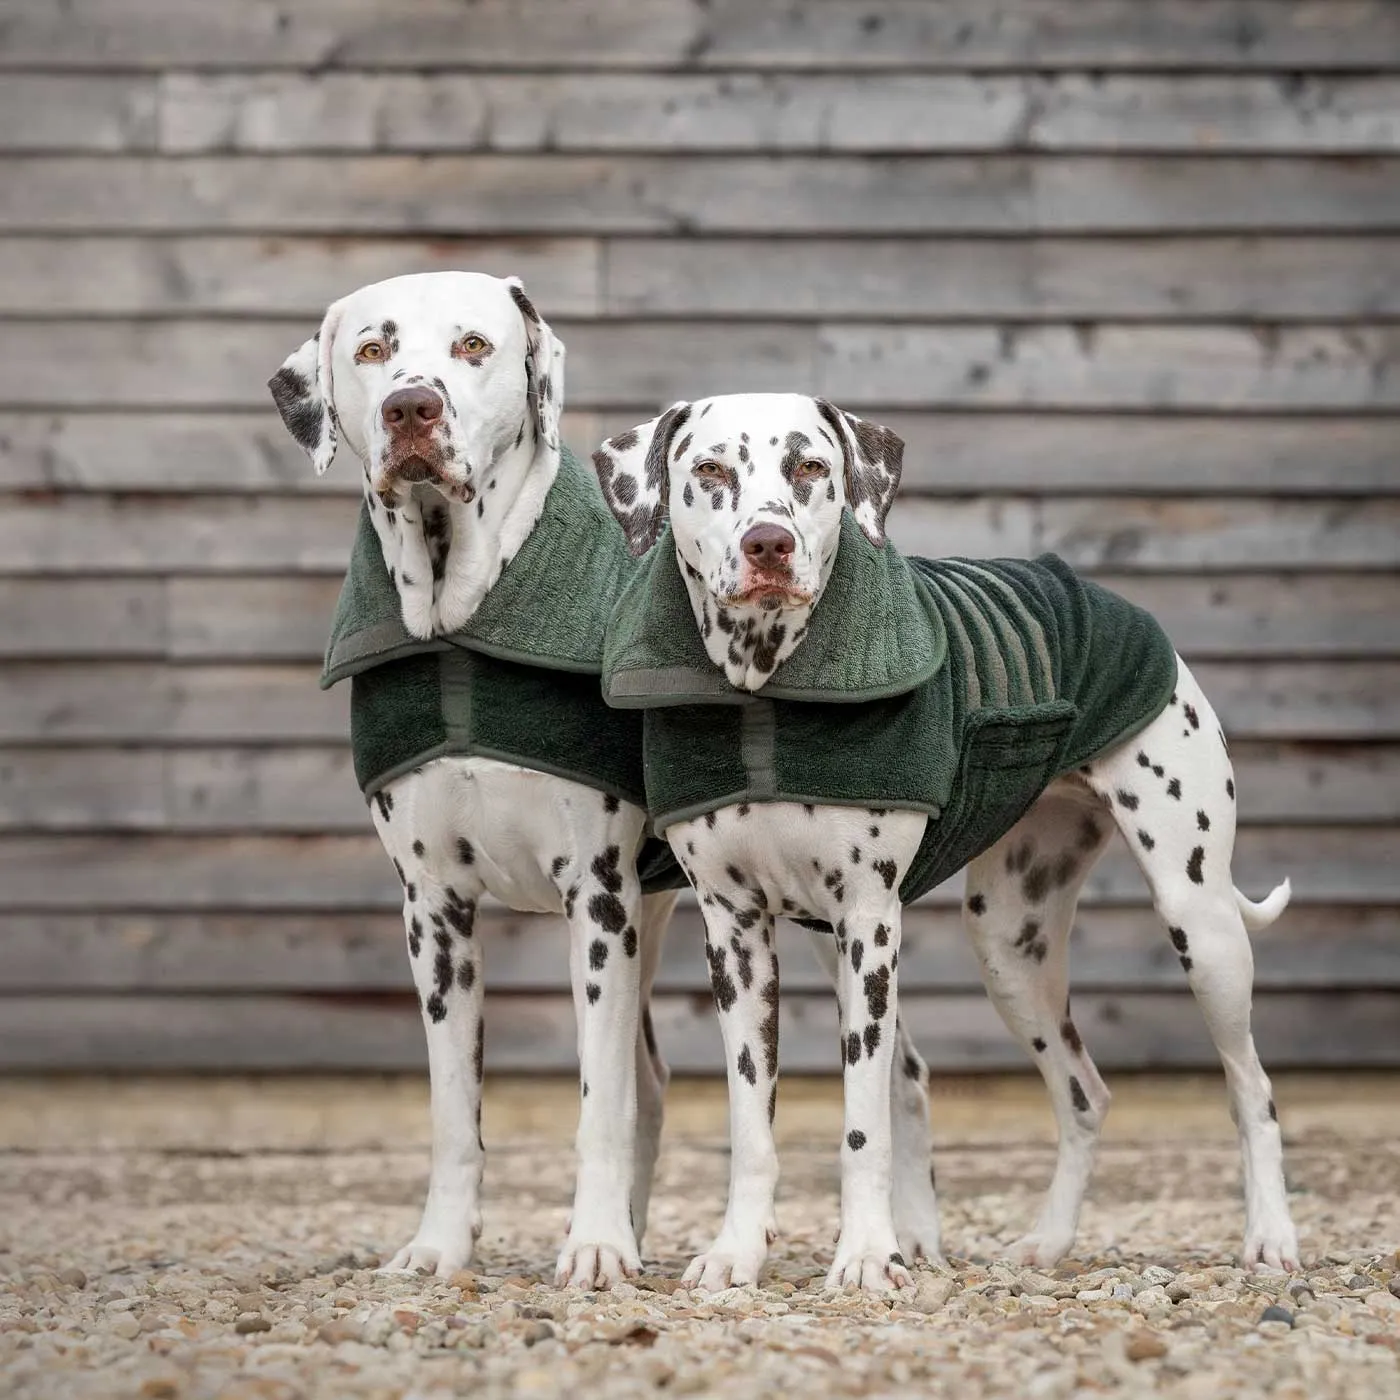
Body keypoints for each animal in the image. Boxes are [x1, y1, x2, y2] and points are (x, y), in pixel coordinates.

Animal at [268, 273, 677, 1288]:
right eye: (373, 351)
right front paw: (440, 1246)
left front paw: (594, 1246)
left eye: (475, 346)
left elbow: (596, 1104)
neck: (465, 623)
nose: (412, 407)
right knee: (650, 1087)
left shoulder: (598, 901)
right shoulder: (434, 911)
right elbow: (456, 1110)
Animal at [590, 392, 1299, 1288]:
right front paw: (735, 1253)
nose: (768, 543)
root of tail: (1117, 605)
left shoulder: (868, 927)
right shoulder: (736, 933)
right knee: (1085, 1093)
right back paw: (1049, 1241)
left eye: (810, 465)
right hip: (1008, 946)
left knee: (1252, 1085)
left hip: (1200, 925)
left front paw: (865, 1256)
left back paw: (1271, 1236)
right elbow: (752, 1124)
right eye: (710, 470)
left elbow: (864, 1126)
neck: (766, 691)